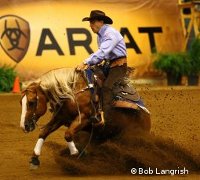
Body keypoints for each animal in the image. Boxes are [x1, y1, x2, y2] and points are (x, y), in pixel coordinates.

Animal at [20, 67, 151, 169]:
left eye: (31, 102)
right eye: (21, 103)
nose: (24, 126)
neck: (72, 92)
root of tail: (147, 117)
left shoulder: (84, 119)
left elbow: (68, 134)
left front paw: (76, 154)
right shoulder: (60, 117)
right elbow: (44, 132)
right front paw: (34, 159)